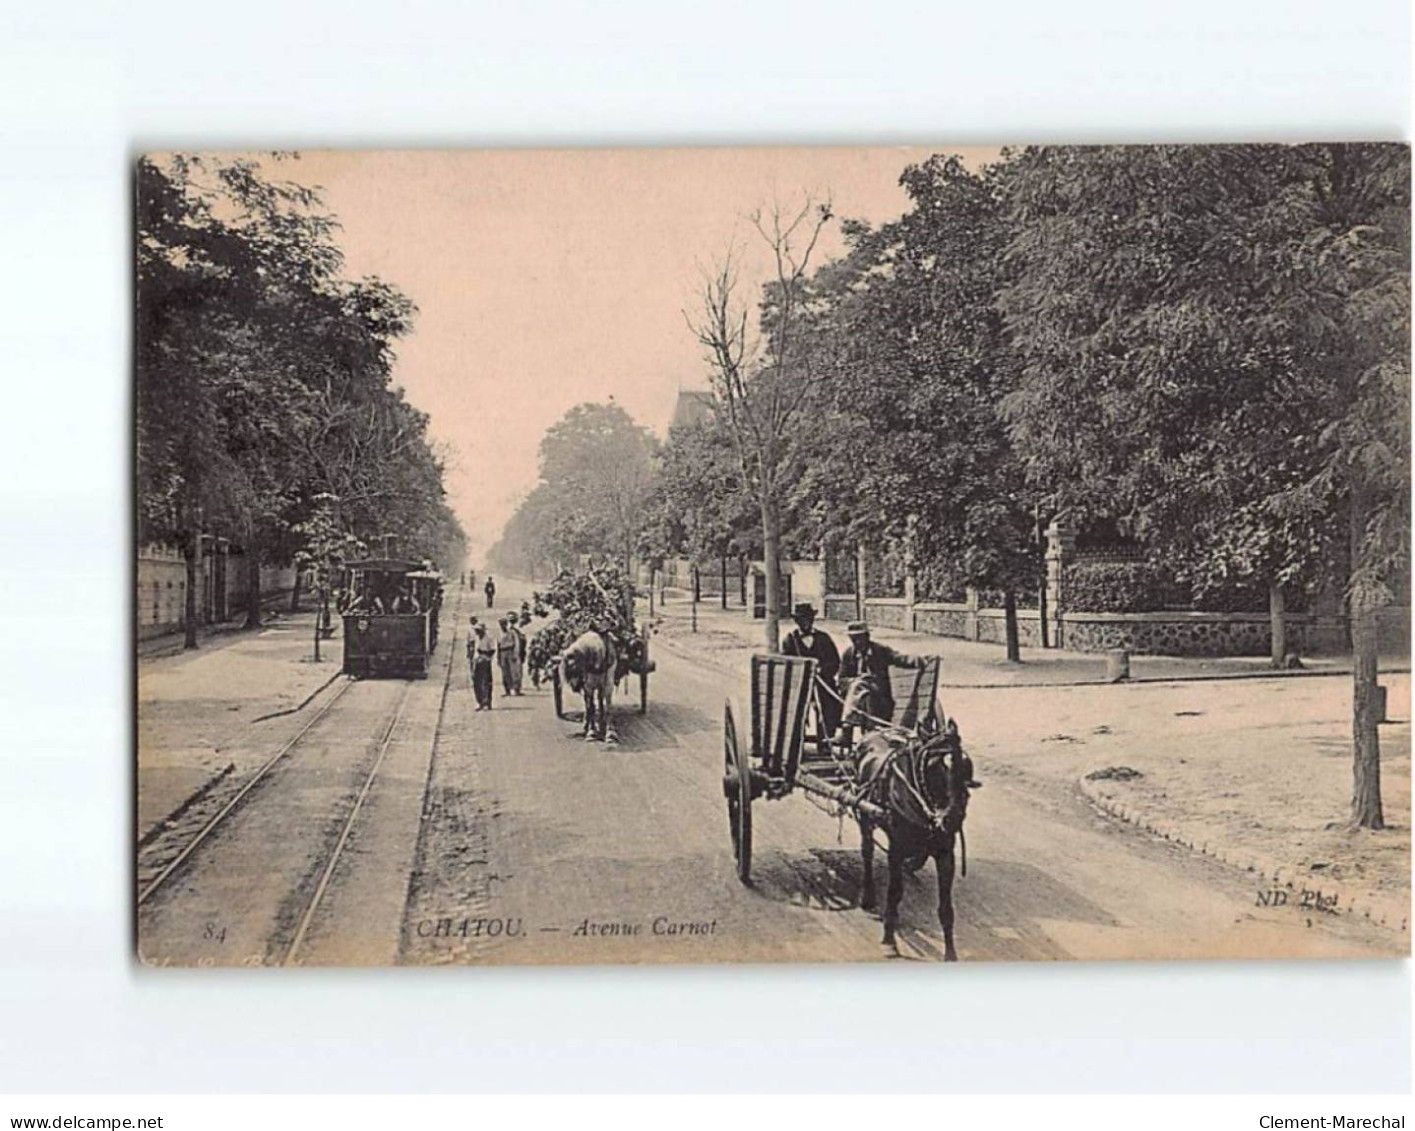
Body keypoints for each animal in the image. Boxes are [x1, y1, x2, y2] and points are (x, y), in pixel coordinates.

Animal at [849, 721, 973, 962]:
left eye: (965, 765)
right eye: (933, 767)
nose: (953, 817)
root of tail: (873, 731)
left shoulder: (946, 853)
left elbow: (946, 908)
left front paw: (950, 953)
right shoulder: (896, 850)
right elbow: (894, 893)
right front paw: (889, 940)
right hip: (865, 814)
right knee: (867, 851)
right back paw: (868, 895)